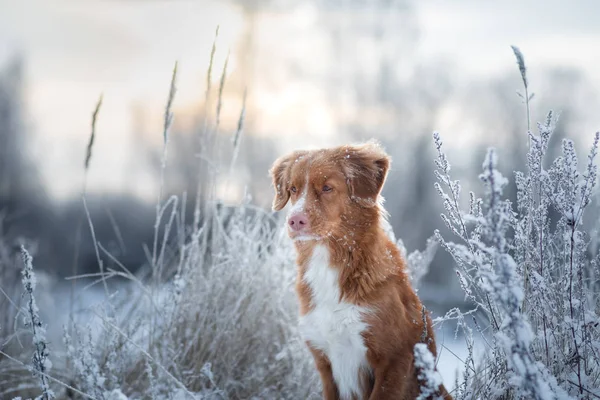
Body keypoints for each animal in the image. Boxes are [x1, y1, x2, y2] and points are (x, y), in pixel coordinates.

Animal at [268, 141, 450, 400]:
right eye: (293, 189)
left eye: (327, 188)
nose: (294, 221)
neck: (330, 262)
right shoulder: (324, 362)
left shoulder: (394, 360)